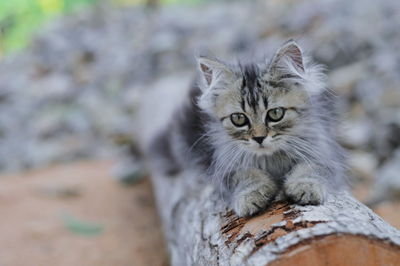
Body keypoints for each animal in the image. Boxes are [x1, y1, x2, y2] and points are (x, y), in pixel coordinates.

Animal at [150, 40, 346, 217]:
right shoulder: (224, 167)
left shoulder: (324, 152)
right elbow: (246, 175)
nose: (259, 138)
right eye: (238, 119)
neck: (271, 161)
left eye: (275, 114)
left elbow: (311, 168)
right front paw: (251, 196)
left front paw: (305, 187)